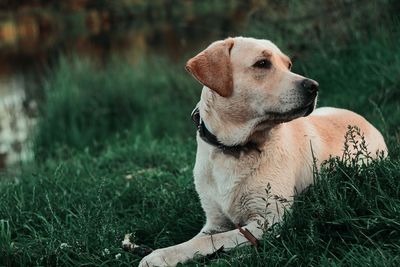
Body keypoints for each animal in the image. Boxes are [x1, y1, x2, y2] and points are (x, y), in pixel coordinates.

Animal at [138, 37, 388, 267]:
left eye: (288, 65)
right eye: (262, 63)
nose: (314, 86)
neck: (233, 150)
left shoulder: (268, 220)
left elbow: (211, 241)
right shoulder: (214, 222)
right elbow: (195, 242)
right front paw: (164, 254)